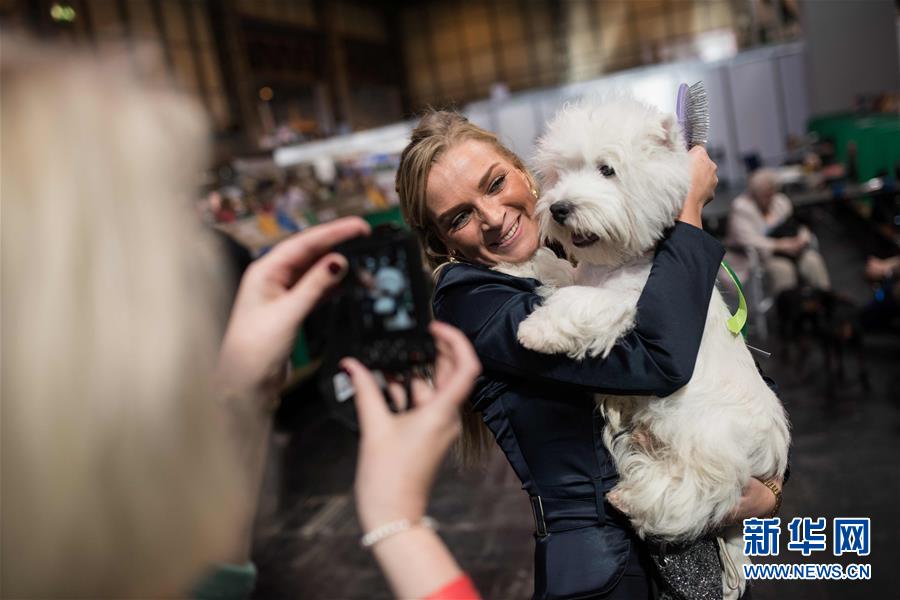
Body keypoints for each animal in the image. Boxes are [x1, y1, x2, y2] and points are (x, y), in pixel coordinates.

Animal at [502, 99, 792, 600]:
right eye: (561, 172)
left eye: (607, 169)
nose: (559, 208)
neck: (619, 261)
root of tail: (773, 453)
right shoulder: (579, 274)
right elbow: (560, 274)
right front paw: (520, 262)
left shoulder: (630, 304)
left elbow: (583, 302)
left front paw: (536, 330)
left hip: (708, 434)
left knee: (700, 491)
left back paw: (632, 496)